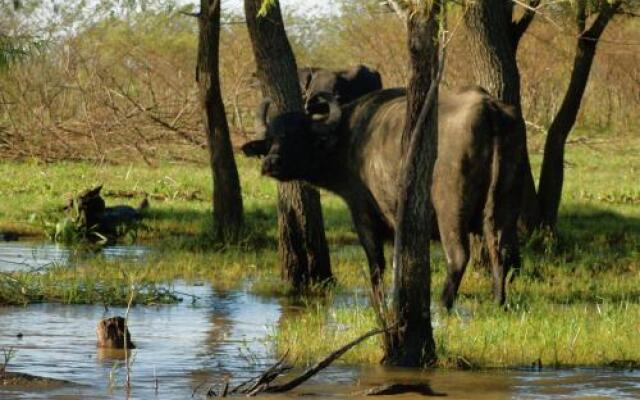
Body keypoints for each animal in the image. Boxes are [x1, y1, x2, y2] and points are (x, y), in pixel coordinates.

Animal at [242, 87, 524, 310]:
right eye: (270, 139)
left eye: (297, 137)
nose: (270, 163)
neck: (347, 138)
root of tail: (488, 108)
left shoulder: (362, 211)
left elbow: (376, 262)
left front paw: (377, 302)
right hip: (504, 208)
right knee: (502, 252)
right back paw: (499, 302)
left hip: (450, 211)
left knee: (458, 255)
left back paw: (443, 304)